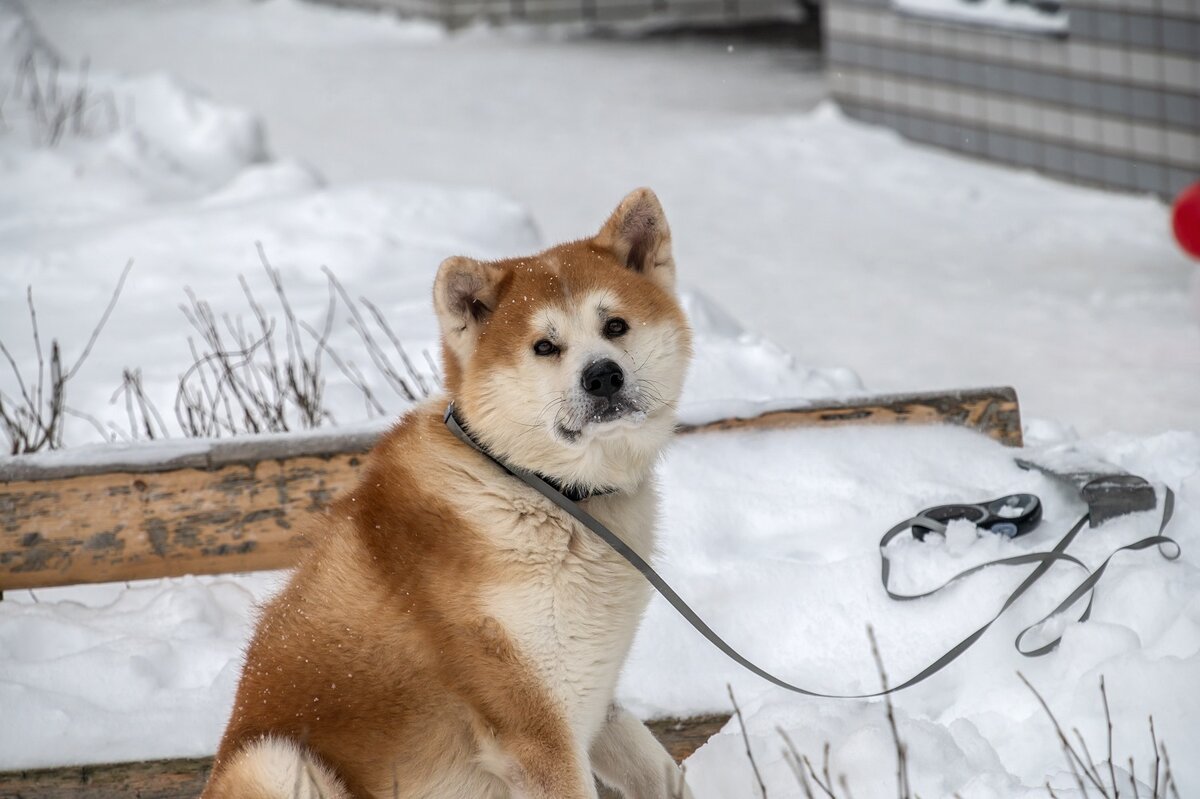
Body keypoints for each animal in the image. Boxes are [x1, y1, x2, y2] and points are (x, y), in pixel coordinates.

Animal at [204, 188, 696, 796]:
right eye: (544, 346)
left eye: (617, 326)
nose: (602, 376)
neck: (534, 489)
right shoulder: (536, 729)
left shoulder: (592, 698)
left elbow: (662, 774)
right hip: (271, 759)